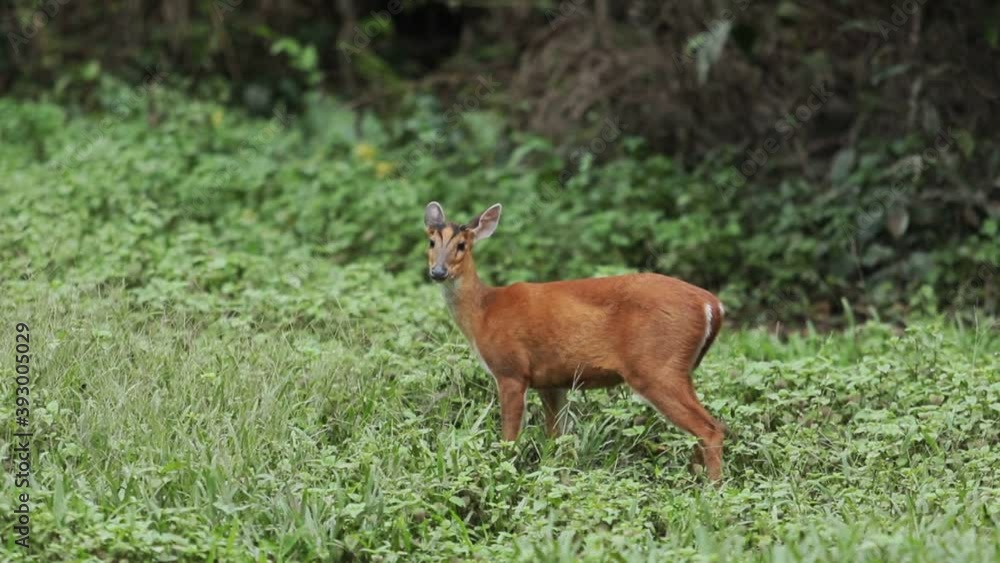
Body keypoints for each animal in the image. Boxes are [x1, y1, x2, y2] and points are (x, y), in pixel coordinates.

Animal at [424, 202, 728, 481]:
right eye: (431, 241)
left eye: (462, 245)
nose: (438, 272)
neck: (483, 312)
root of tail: (712, 304)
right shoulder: (550, 381)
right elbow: (555, 437)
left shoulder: (511, 370)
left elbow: (509, 437)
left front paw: (503, 471)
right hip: (679, 368)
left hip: (656, 367)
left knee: (710, 429)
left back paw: (712, 488)